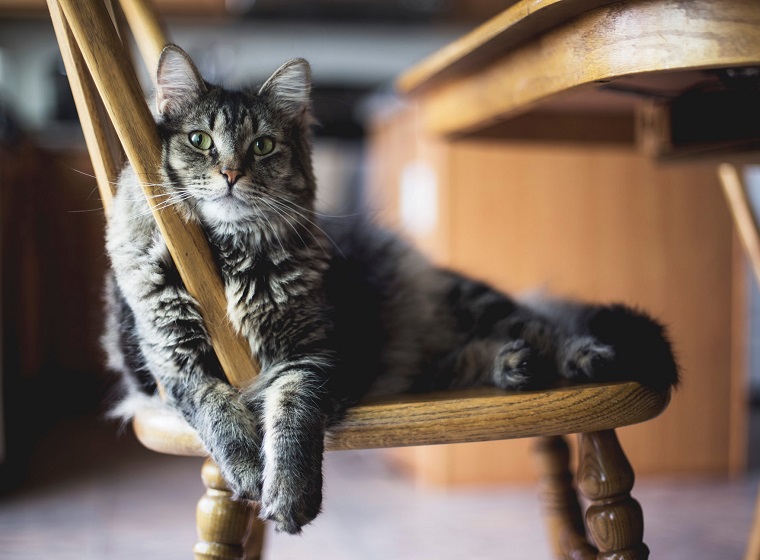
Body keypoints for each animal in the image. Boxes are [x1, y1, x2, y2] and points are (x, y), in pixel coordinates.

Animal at [104, 43, 680, 532]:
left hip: (474, 306)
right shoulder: (172, 361)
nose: (229, 174)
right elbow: (216, 410)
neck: (228, 256)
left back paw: (581, 357)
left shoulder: (314, 355)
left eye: (263, 146)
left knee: (544, 327)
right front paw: (248, 470)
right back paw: (513, 366)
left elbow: (291, 419)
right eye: (200, 140)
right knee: (468, 356)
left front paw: (288, 493)